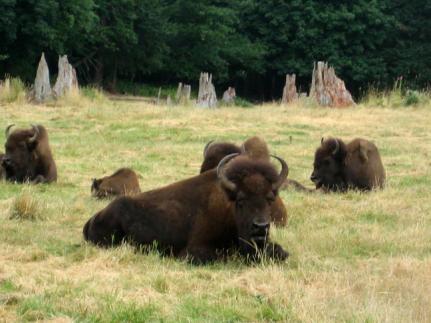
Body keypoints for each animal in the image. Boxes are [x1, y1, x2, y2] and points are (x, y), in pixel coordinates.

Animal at [83, 155, 290, 266]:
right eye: (240, 200)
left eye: (270, 199)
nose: (260, 227)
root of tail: (92, 219)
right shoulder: (193, 252)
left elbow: (281, 252)